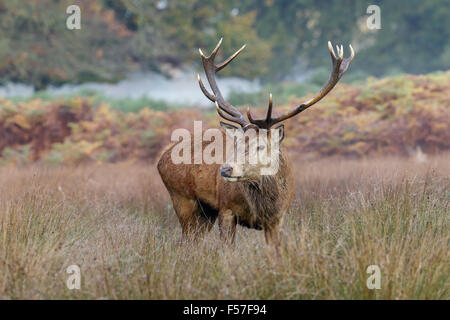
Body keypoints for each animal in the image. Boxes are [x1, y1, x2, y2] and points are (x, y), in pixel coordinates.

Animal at [156, 38, 354, 248]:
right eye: (235, 144)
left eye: (260, 146)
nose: (225, 169)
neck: (264, 205)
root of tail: (161, 159)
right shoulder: (226, 209)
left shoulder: (277, 218)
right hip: (182, 199)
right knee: (185, 241)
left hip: (205, 212)